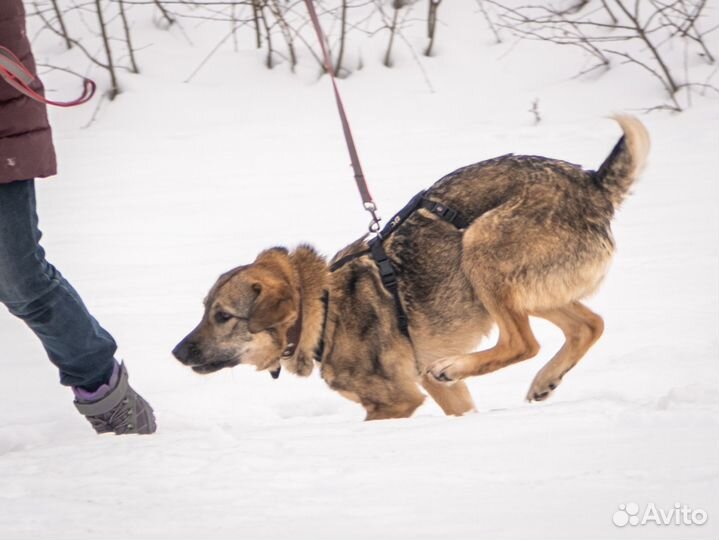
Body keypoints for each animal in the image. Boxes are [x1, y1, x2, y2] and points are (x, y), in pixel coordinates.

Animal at [174, 117, 652, 422]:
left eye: (223, 316)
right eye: (203, 311)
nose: (176, 352)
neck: (324, 307)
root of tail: (592, 183)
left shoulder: (395, 402)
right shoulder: (438, 392)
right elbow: (463, 409)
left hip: (480, 250)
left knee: (524, 342)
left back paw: (463, 364)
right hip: (523, 288)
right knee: (589, 324)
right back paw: (545, 381)